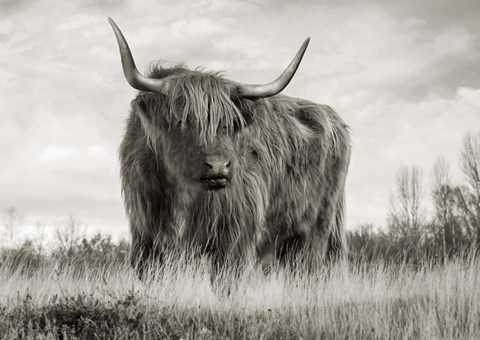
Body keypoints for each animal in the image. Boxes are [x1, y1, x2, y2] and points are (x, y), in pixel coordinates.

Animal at [110, 17, 352, 280]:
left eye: (230, 124)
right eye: (181, 120)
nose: (218, 166)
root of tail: (333, 118)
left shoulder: (235, 237)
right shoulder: (146, 238)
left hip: (315, 231)